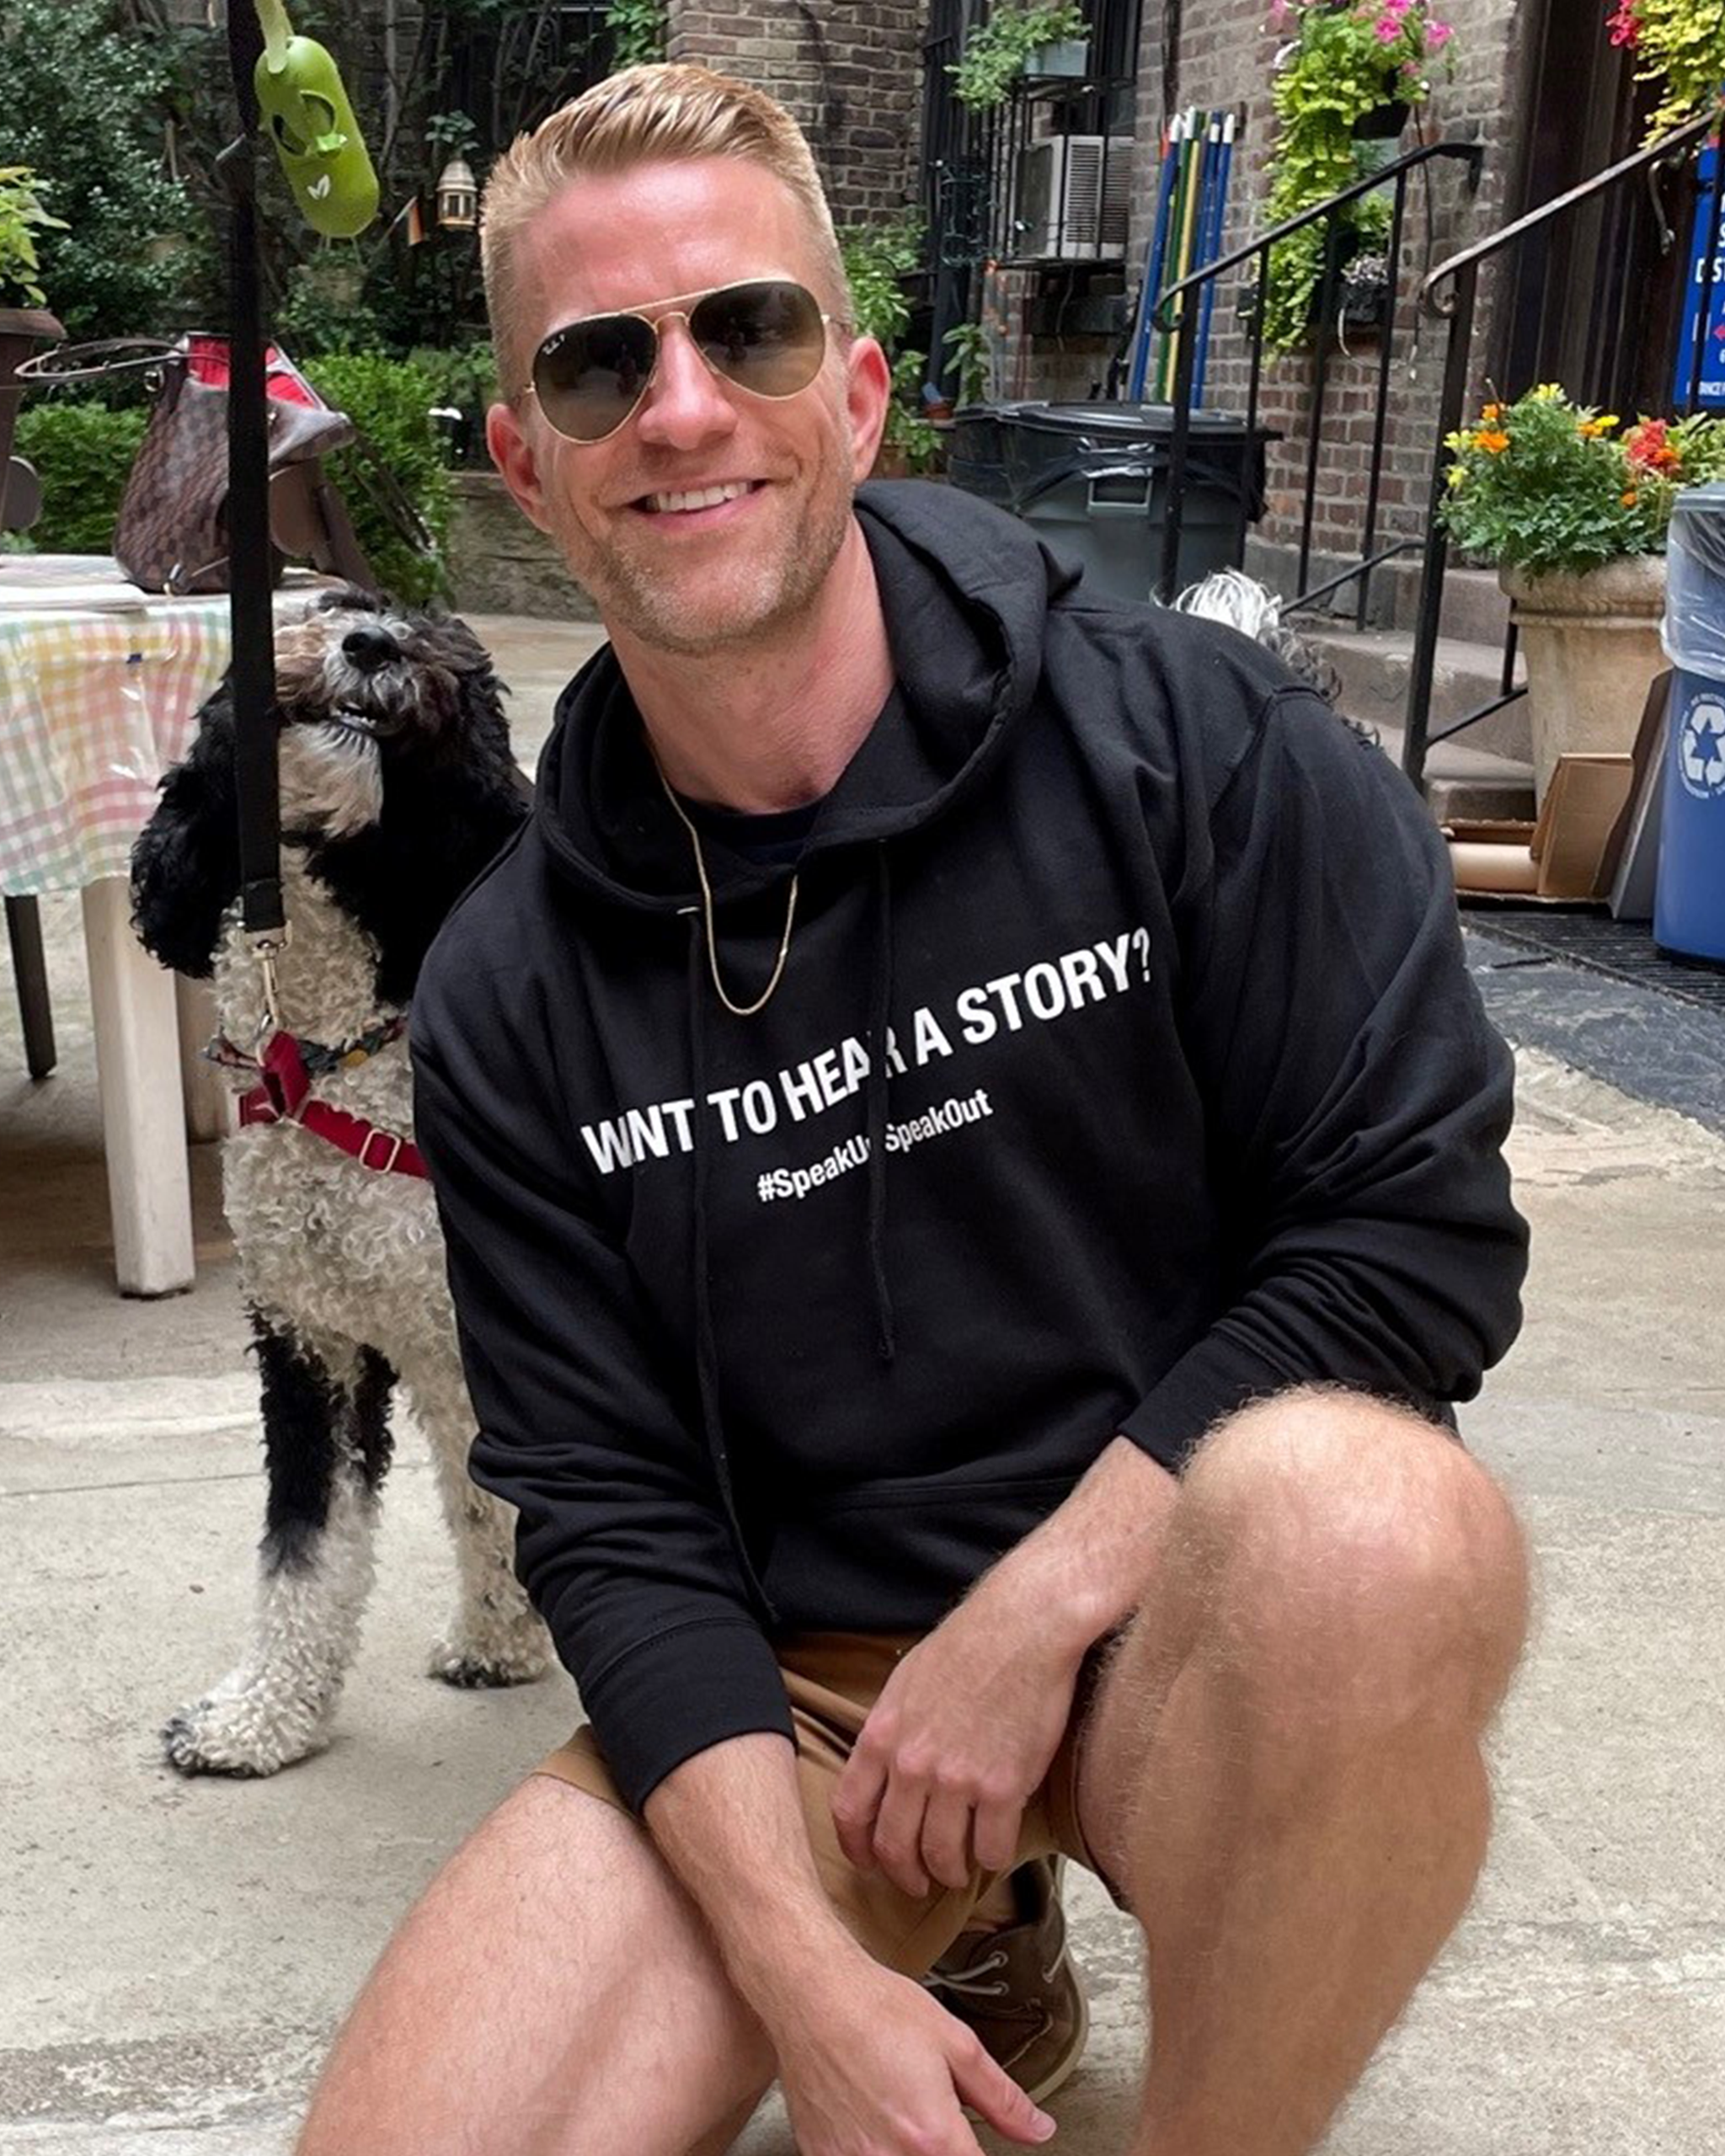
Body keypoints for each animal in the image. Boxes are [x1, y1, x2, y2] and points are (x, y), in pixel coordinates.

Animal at [131, 586, 549, 1768]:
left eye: (444, 652)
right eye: (332, 606)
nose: (369, 646)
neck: (336, 1058)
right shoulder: (312, 1338)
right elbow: (307, 1549)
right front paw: (261, 1714)